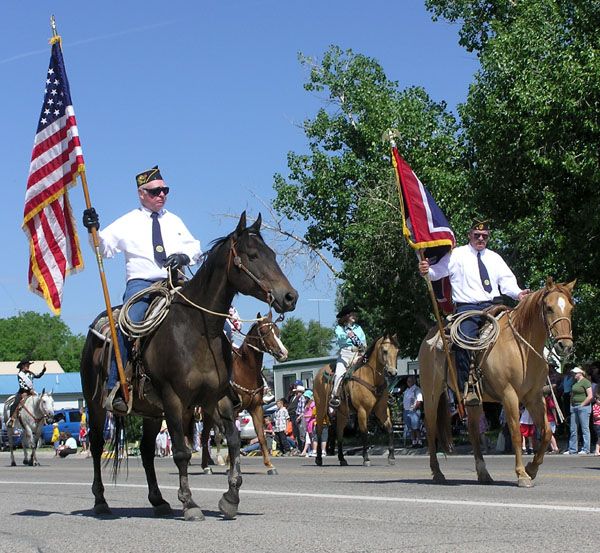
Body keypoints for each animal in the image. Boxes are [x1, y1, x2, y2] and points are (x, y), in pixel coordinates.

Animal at [199, 310, 288, 474]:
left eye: (277, 331)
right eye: (264, 332)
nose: (283, 353)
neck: (246, 371)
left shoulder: (256, 408)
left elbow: (260, 436)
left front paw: (269, 465)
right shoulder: (232, 411)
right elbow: (232, 437)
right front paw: (231, 466)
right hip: (207, 413)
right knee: (204, 436)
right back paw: (206, 466)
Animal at [312, 332, 400, 466]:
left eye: (397, 351)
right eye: (385, 351)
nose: (392, 372)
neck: (371, 378)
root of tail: (319, 373)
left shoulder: (381, 410)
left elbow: (390, 429)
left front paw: (391, 457)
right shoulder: (362, 411)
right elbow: (364, 433)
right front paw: (366, 458)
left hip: (342, 413)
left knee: (339, 433)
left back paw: (342, 459)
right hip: (321, 407)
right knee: (319, 430)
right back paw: (318, 459)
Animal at [420, 278, 576, 486]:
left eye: (570, 308)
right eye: (549, 308)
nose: (565, 345)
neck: (521, 348)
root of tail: (430, 334)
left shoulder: (533, 396)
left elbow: (546, 433)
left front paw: (532, 468)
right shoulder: (509, 395)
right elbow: (516, 434)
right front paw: (522, 474)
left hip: (474, 400)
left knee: (473, 431)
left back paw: (483, 473)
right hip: (431, 392)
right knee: (430, 429)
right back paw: (437, 473)